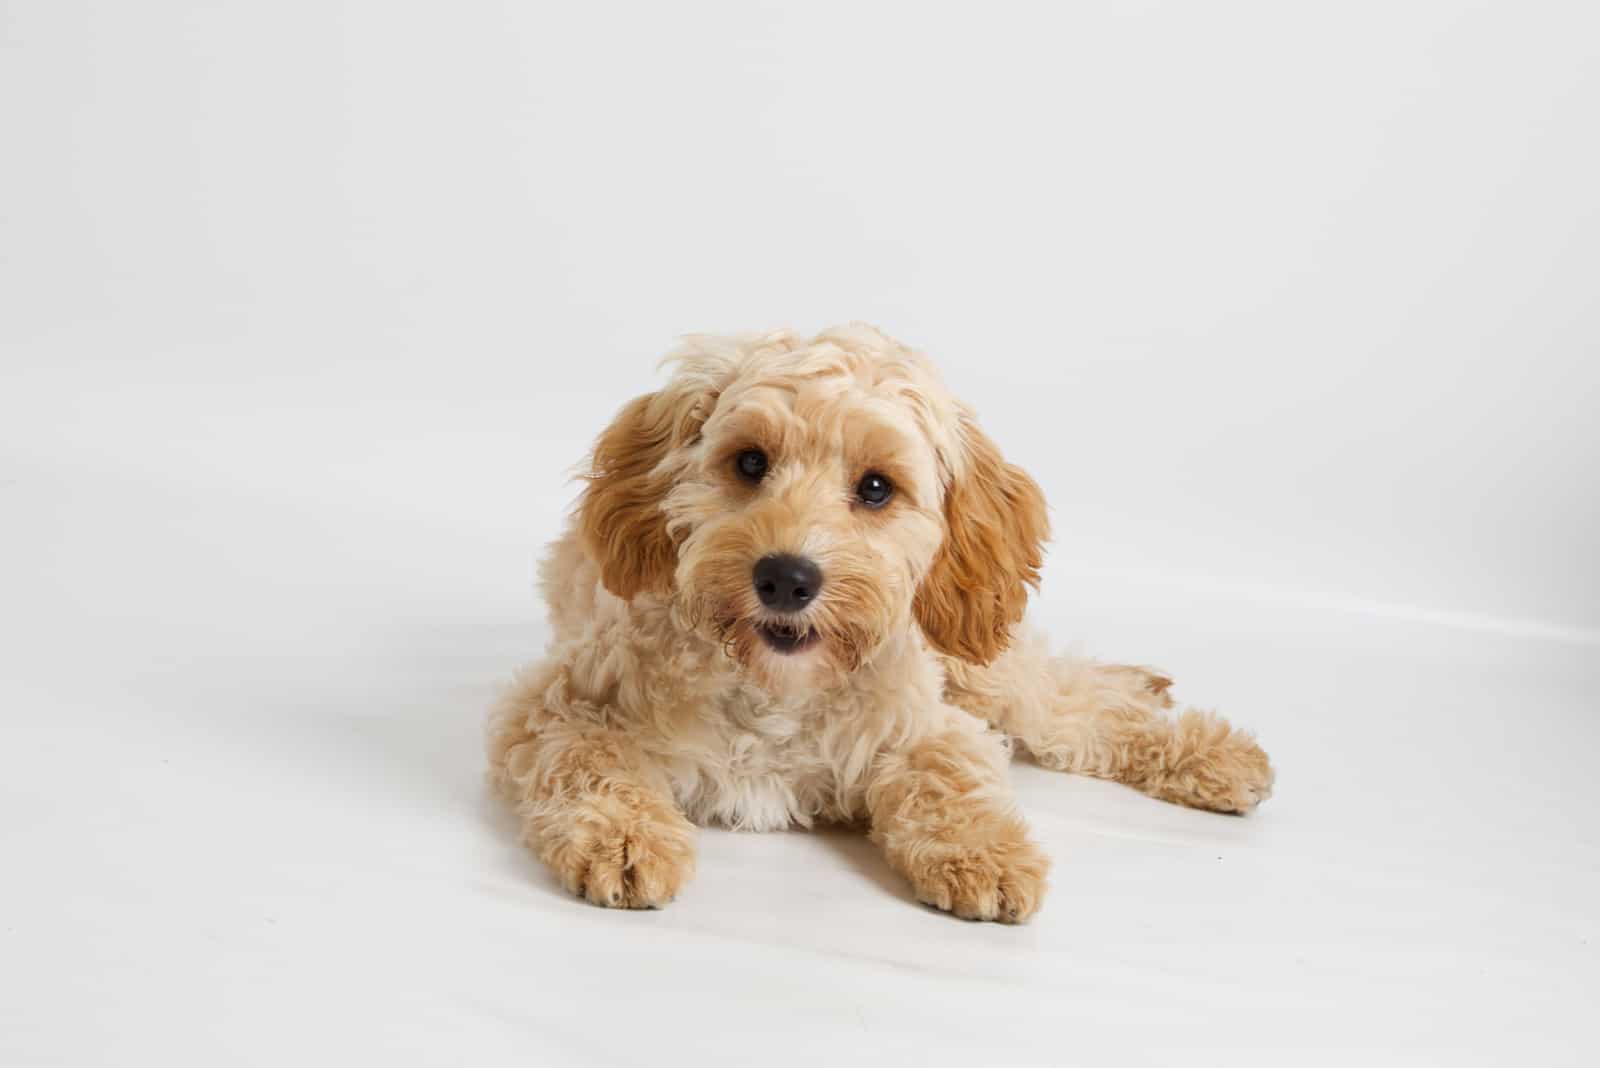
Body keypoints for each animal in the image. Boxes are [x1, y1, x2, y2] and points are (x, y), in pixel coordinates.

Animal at [486, 321, 1273, 920]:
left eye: (875, 487)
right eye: (749, 462)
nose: (786, 577)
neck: (776, 690)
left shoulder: (926, 722)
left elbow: (949, 776)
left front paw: (985, 852)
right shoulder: (565, 701)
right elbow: (590, 763)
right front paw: (623, 838)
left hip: (986, 672)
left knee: (1078, 707)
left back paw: (1214, 755)